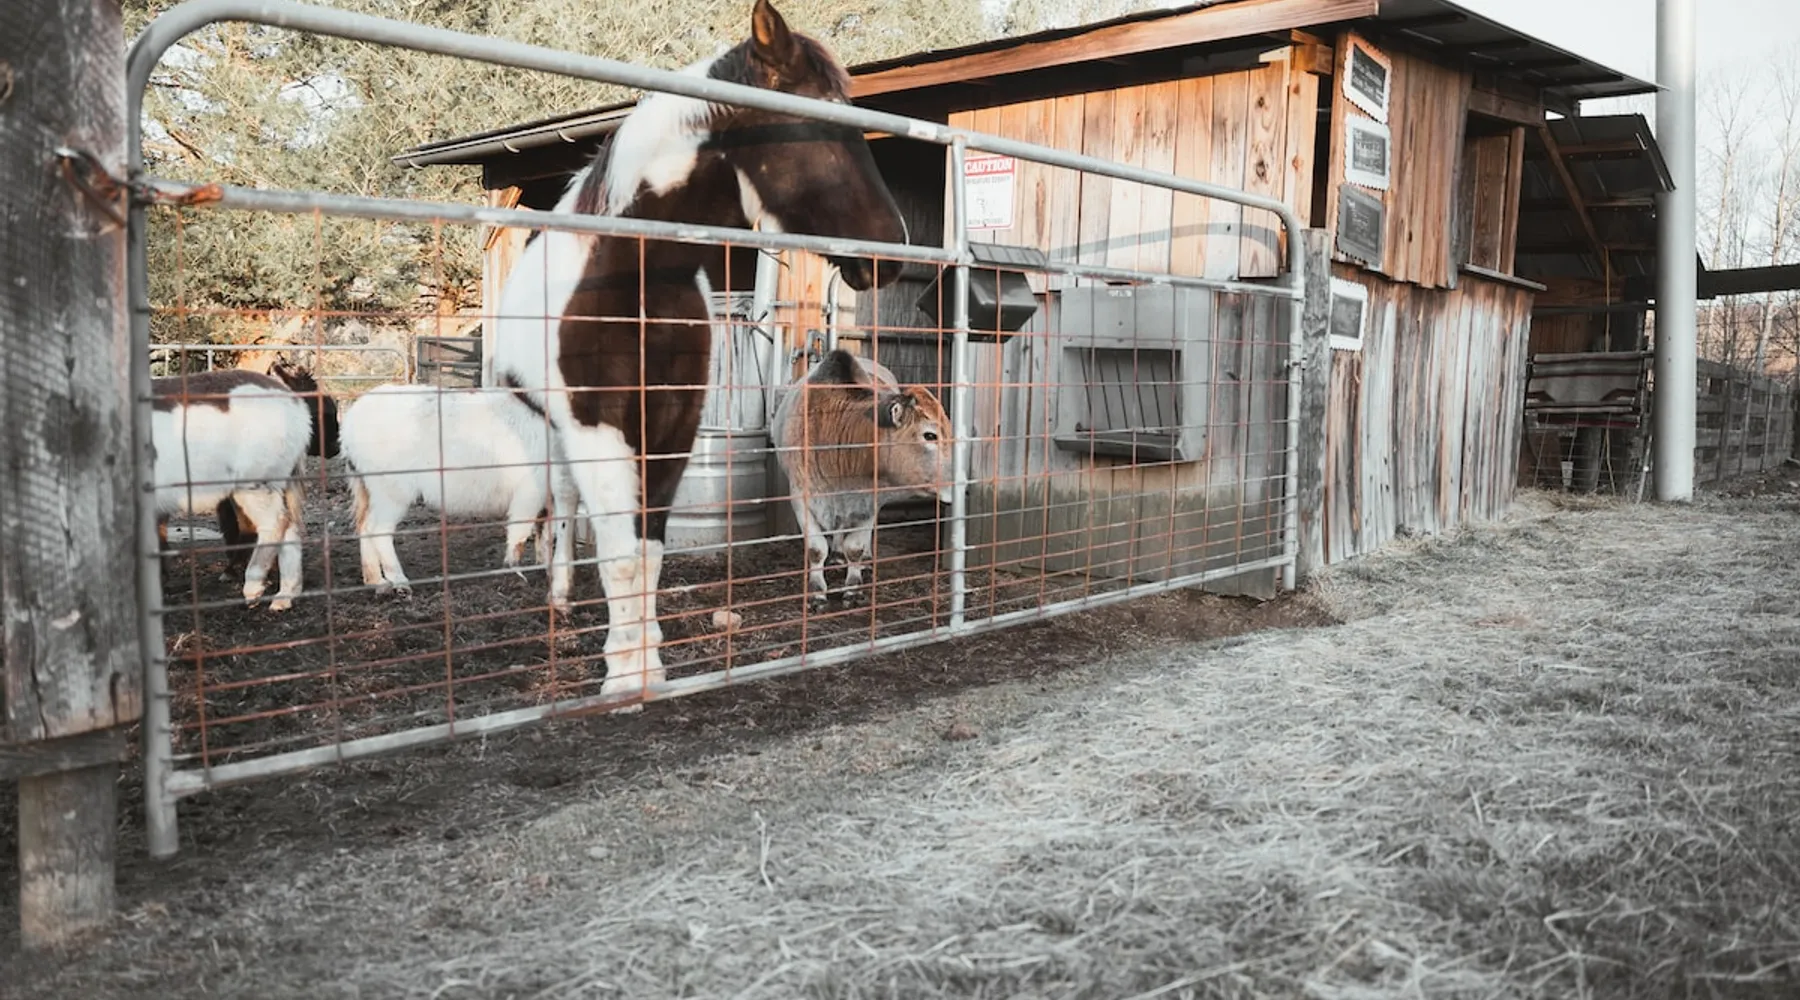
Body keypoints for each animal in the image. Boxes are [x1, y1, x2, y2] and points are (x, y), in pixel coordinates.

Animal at [151, 361, 339, 611]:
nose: (335, 447)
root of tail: (291, 401)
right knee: (289, 529)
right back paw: (284, 596)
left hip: (253, 485)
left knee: (275, 523)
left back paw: (253, 586)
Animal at [339, 383, 576, 612]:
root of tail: (351, 421)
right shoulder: (530, 492)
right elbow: (520, 534)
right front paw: (516, 574)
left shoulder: (549, 498)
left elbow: (545, 536)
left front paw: (545, 571)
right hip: (391, 490)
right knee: (378, 530)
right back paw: (400, 584)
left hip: (368, 488)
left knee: (364, 527)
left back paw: (377, 583)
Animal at [489, 0, 907, 703]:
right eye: (820, 119)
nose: (893, 250)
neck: (632, 276)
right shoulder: (598, 425)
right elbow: (620, 554)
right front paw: (622, 678)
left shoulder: (673, 426)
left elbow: (649, 551)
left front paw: (648, 665)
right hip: (555, 429)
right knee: (565, 507)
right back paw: (560, 598)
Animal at [770, 349, 953, 605]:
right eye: (930, 435)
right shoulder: (801, 497)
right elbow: (816, 549)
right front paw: (817, 592)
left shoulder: (869, 502)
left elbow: (855, 547)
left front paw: (853, 588)